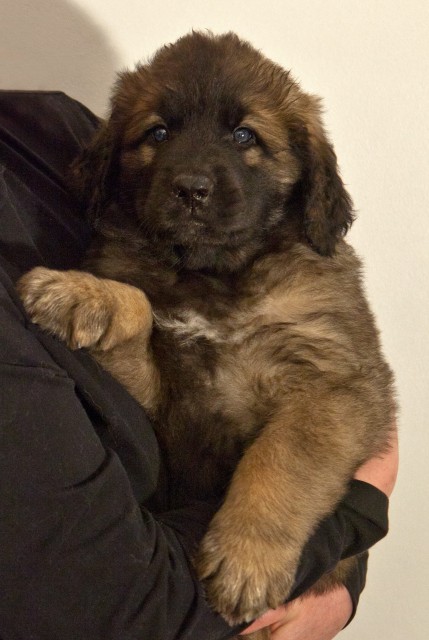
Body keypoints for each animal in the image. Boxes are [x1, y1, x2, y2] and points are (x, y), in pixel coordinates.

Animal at [19, 31, 394, 636]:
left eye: (244, 136)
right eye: (158, 133)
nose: (190, 189)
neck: (214, 275)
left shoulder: (335, 382)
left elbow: (284, 457)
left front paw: (245, 559)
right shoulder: (165, 411)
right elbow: (140, 307)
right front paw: (82, 294)